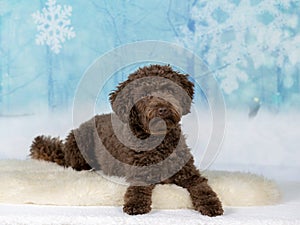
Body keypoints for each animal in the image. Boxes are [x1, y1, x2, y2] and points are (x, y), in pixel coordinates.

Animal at [29, 63, 223, 216]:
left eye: (169, 90)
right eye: (145, 94)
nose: (162, 109)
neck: (158, 142)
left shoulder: (190, 174)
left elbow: (202, 187)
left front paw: (211, 204)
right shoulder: (140, 174)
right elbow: (137, 189)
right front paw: (135, 204)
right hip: (80, 146)